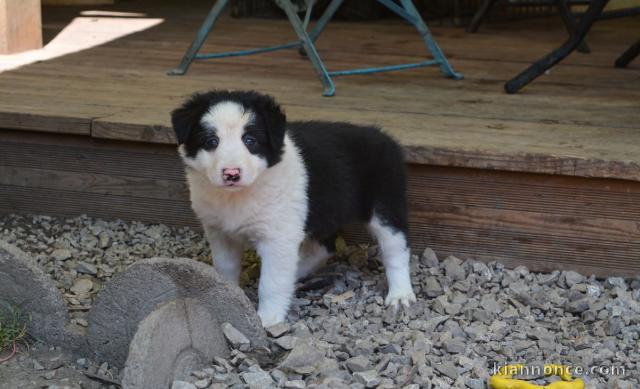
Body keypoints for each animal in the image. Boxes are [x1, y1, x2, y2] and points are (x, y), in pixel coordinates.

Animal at [172, 89, 418, 326]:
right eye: (211, 141)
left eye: (250, 140)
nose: (231, 174)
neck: (237, 196)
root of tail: (383, 136)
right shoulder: (221, 233)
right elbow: (225, 269)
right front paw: (228, 297)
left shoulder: (278, 237)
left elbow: (271, 282)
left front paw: (268, 318)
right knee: (324, 247)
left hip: (386, 205)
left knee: (396, 250)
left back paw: (400, 295)